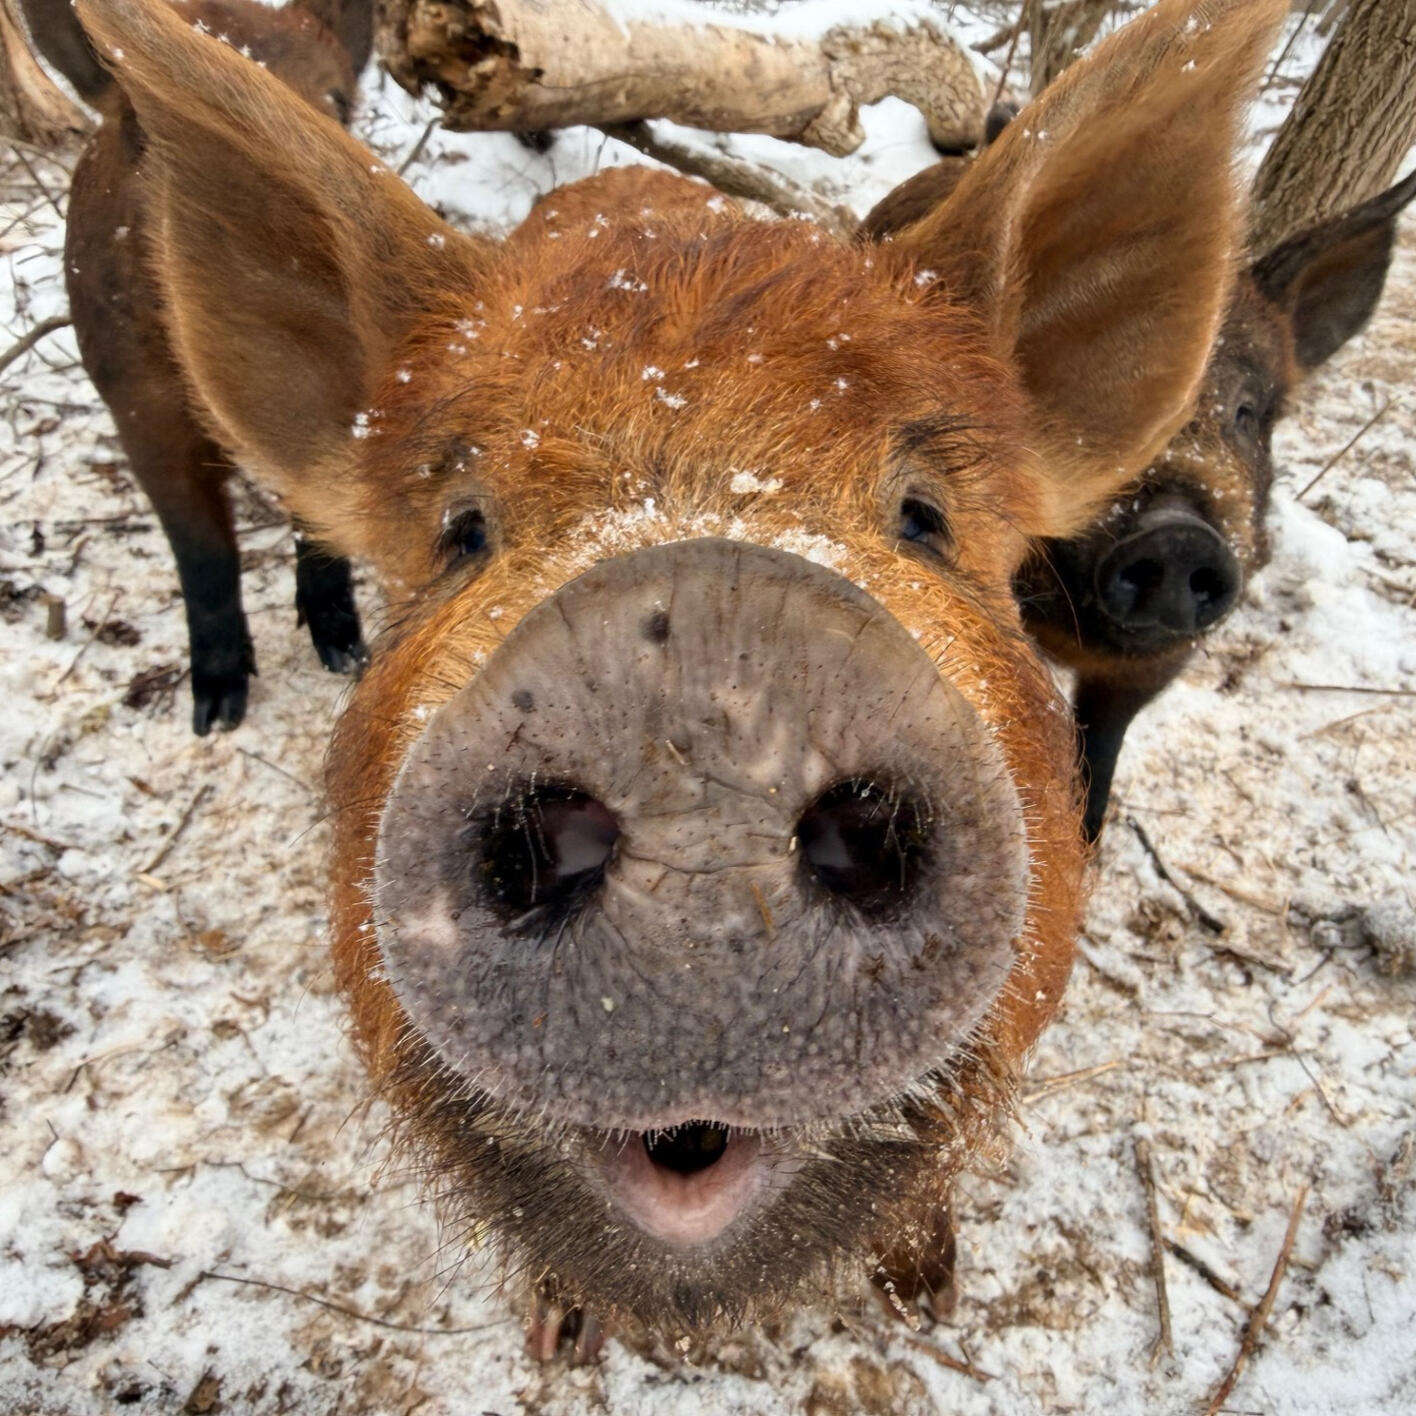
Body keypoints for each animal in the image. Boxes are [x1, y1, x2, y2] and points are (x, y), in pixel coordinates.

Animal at [29, 0, 373, 733]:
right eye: (146, 120)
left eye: (336, 102)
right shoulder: (135, 401)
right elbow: (202, 551)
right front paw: (215, 716)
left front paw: (347, 658)